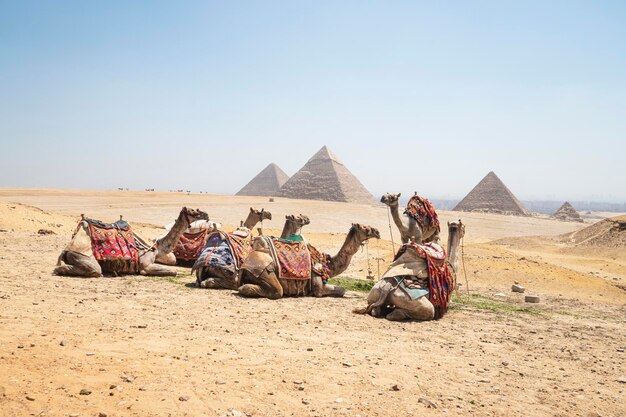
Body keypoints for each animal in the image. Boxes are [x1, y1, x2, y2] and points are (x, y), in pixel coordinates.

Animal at [53, 207, 207, 278]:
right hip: (82, 255)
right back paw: (59, 270)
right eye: (193, 211)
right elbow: (173, 271)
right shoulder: (146, 265)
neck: (156, 248)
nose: (206, 214)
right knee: (95, 270)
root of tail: (66, 250)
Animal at [235, 224, 378, 300]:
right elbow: (341, 290)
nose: (377, 231)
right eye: (365, 228)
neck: (327, 264)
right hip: (264, 269)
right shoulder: (318, 286)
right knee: (276, 290)